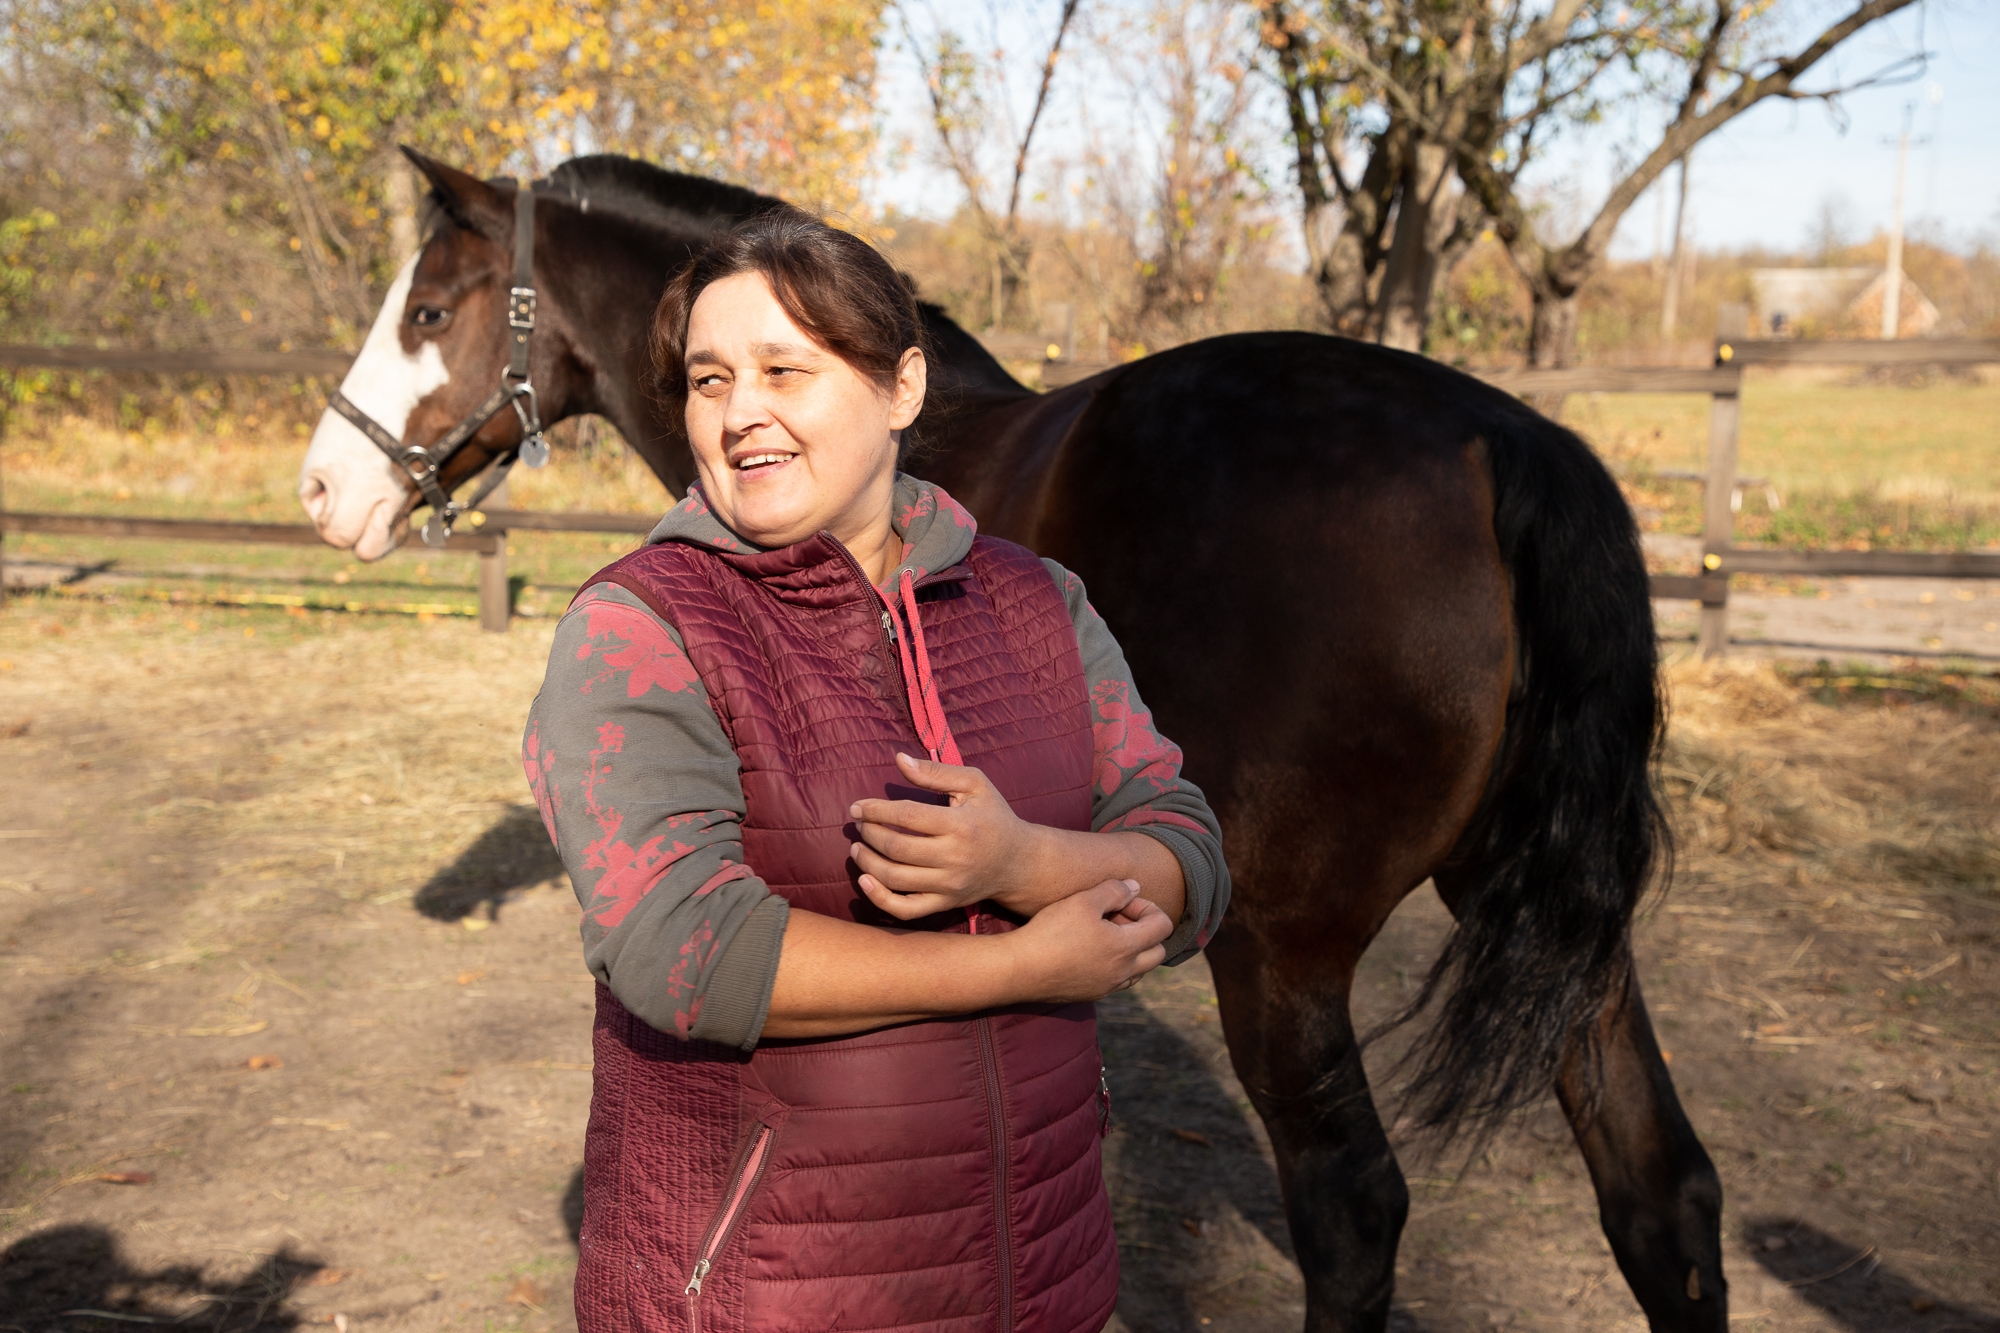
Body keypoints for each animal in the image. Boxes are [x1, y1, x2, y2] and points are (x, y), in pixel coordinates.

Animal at [296, 150, 1720, 1320]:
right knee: (1662, 1195)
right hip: (1561, 940)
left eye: (427, 314)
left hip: (1282, 956)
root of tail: (1500, 441)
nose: (322, 486)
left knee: (1354, 1214)